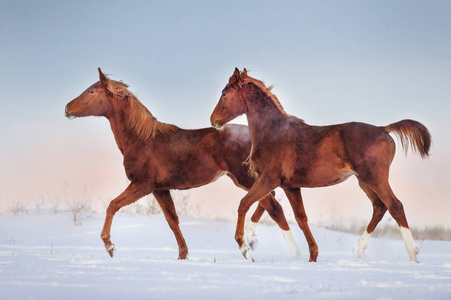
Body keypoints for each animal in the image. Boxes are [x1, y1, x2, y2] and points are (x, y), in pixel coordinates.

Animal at [63, 68, 300, 260]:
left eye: (91, 92)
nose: (67, 108)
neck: (140, 140)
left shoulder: (142, 185)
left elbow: (112, 205)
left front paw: (110, 246)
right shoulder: (160, 190)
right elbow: (172, 221)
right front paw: (183, 255)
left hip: (246, 179)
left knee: (274, 207)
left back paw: (261, 248)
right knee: (269, 201)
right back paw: (253, 241)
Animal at [210, 67, 432, 262]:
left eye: (223, 93)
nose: (213, 120)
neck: (272, 132)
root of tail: (383, 129)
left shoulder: (268, 179)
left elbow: (244, 204)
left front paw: (244, 246)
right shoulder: (290, 186)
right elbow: (299, 217)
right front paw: (312, 255)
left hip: (375, 178)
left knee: (395, 206)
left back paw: (412, 254)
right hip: (364, 181)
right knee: (379, 207)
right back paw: (360, 250)